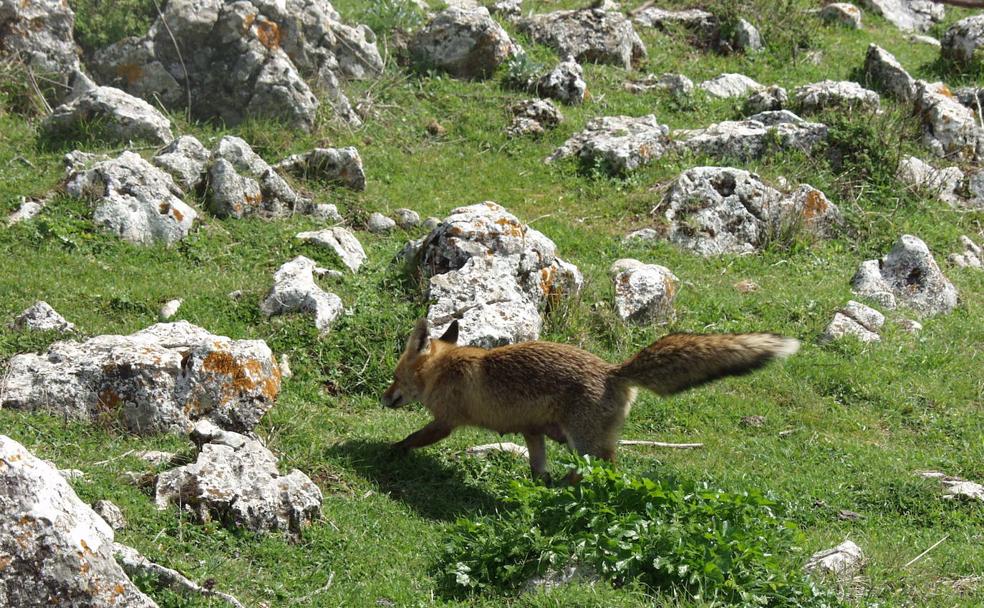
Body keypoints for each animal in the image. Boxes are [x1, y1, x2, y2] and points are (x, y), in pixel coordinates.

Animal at [378, 318, 800, 480]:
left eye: (395, 377)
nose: (384, 398)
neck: (446, 368)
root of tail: (616, 371)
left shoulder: (446, 422)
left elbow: (413, 438)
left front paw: (388, 452)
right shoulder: (532, 430)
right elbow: (537, 468)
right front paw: (539, 486)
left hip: (582, 443)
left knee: (601, 470)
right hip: (578, 440)